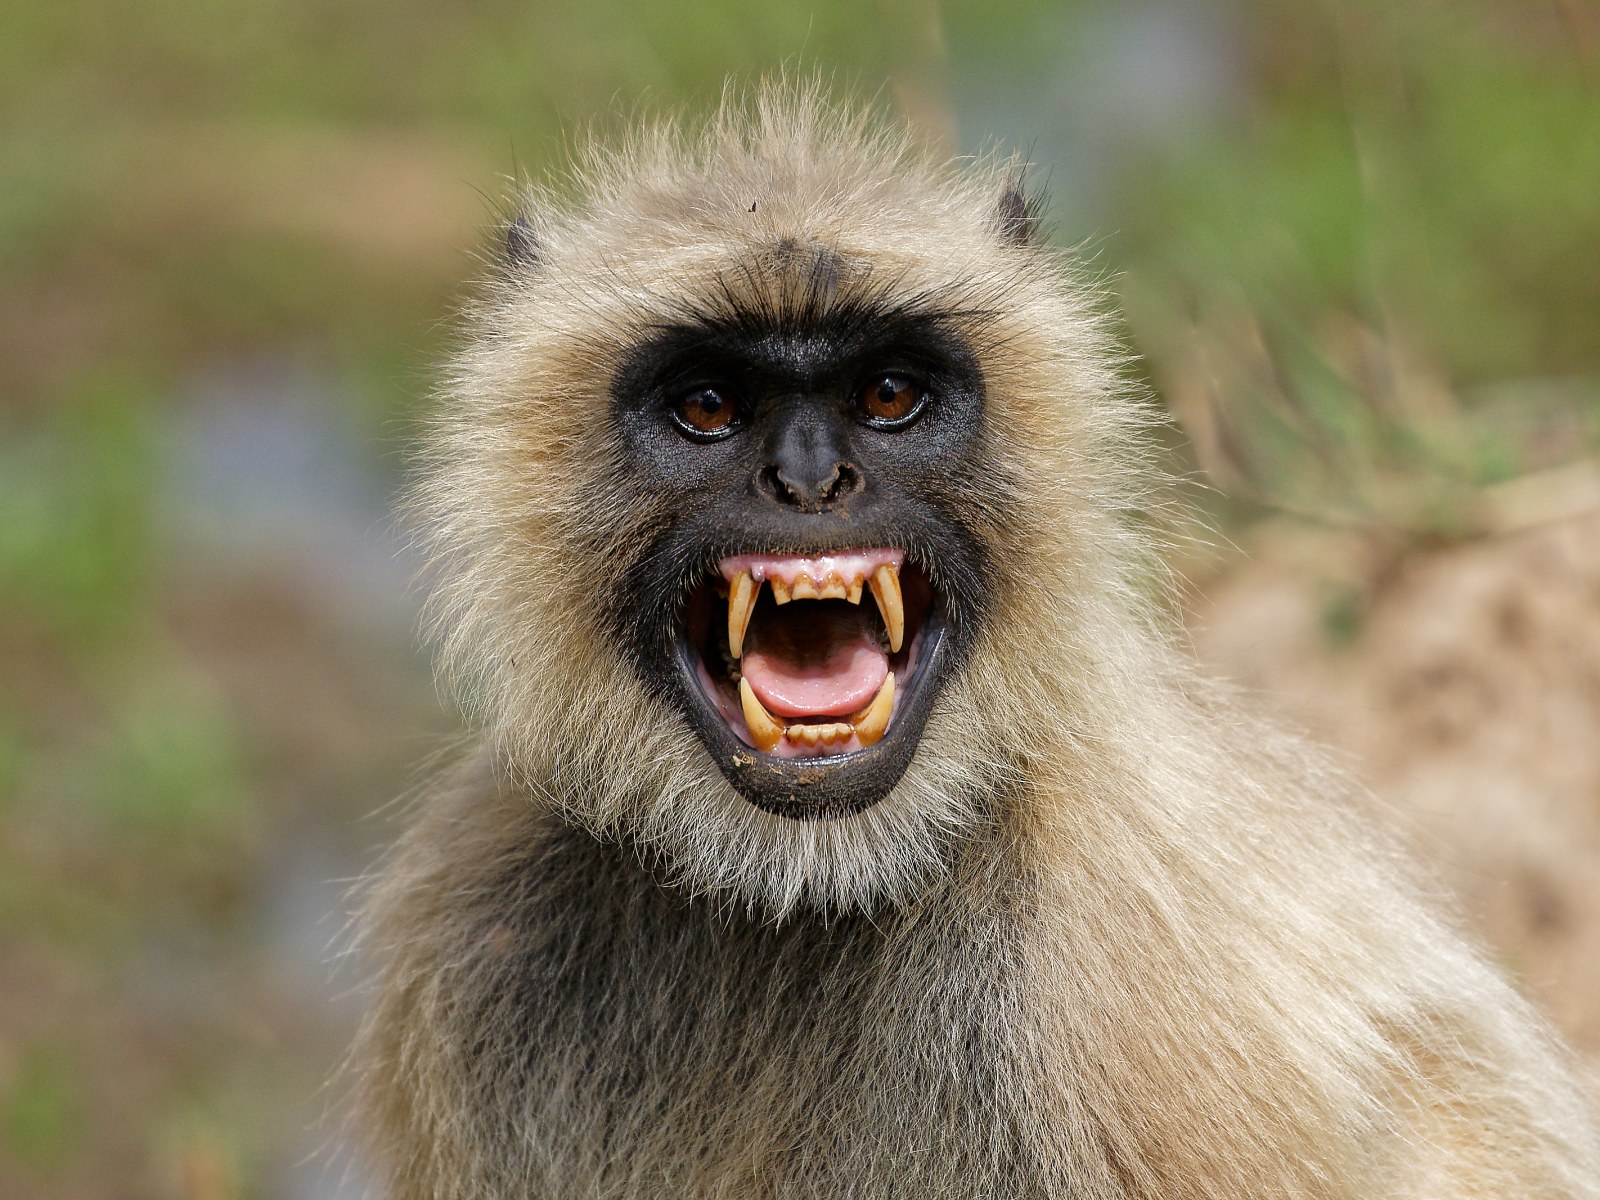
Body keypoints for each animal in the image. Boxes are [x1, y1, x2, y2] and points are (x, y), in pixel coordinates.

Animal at [350, 86, 1600, 1200]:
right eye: (707, 406)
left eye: (887, 394)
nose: (810, 481)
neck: (812, 887)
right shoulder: (476, 920)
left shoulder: (1126, 984)